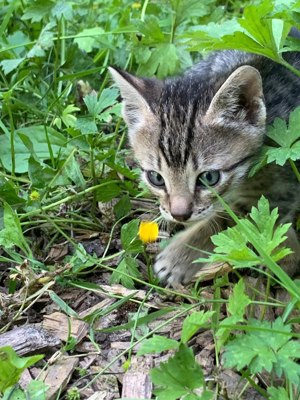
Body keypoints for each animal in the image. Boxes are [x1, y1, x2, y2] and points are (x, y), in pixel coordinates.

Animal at [109, 50, 300, 286]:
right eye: (156, 178)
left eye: (209, 178)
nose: (179, 215)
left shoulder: (281, 185)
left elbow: (230, 220)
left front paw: (178, 257)